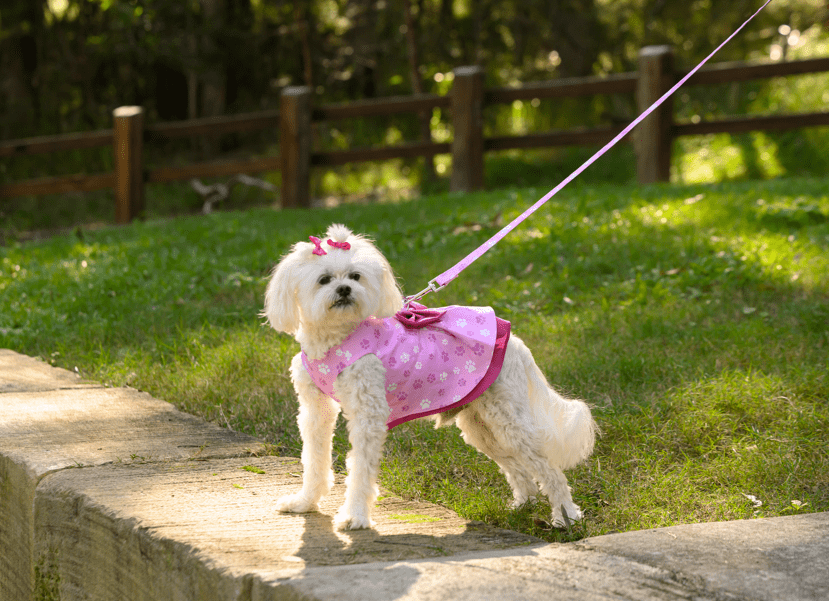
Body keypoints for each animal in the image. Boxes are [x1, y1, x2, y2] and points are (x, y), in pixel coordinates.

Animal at [262, 224, 592, 528]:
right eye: (324, 280)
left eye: (355, 276)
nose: (344, 290)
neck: (336, 336)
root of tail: (517, 344)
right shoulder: (315, 412)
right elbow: (314, 460)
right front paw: (305, 502)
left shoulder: (368, 414)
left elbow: (360, 468)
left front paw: (354, 516)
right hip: (482, 427)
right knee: (519, 469)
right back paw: (522, 505)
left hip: (509, 420)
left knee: (548, 469)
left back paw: (566, 516)